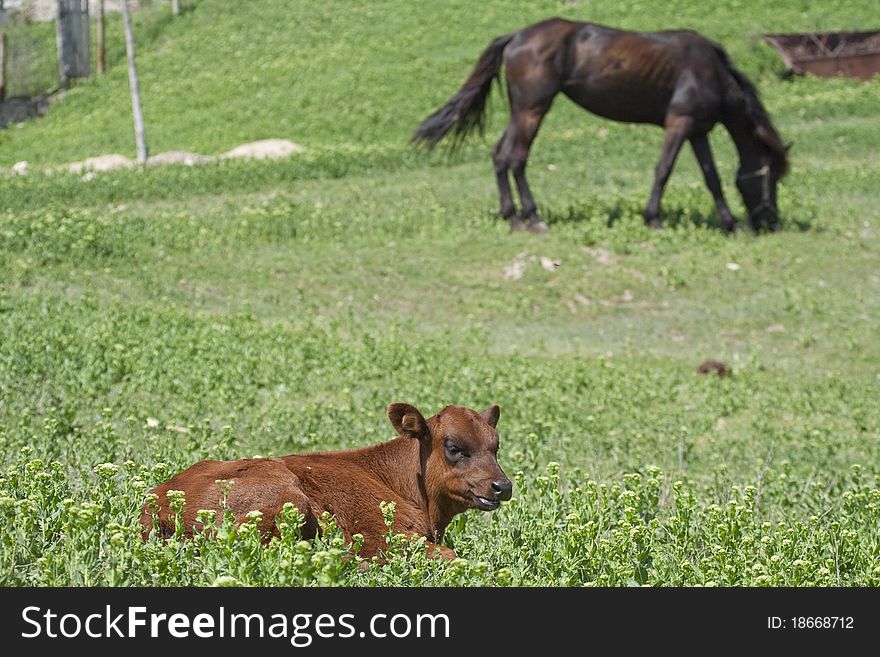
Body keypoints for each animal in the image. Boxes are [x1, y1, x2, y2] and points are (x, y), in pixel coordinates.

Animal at [141, 402, 512, 556]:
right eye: (454, 447)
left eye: (496, 446)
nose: (503, 486)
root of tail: (157, 502)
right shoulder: (385, 535)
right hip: (287, 495)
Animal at [412, 18, 792, 233]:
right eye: (771, 176)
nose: (771, 221)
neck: (710, 71)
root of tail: (517, 36)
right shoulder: (678, 124)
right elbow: (663, 171)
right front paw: (653, 219)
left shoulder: (697, 131)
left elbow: (711, 178)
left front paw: (730, 223)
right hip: (533, 110)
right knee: (516, 158)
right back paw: (532, 218)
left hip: (520, 111)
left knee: (500, 155)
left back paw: (512, 216)